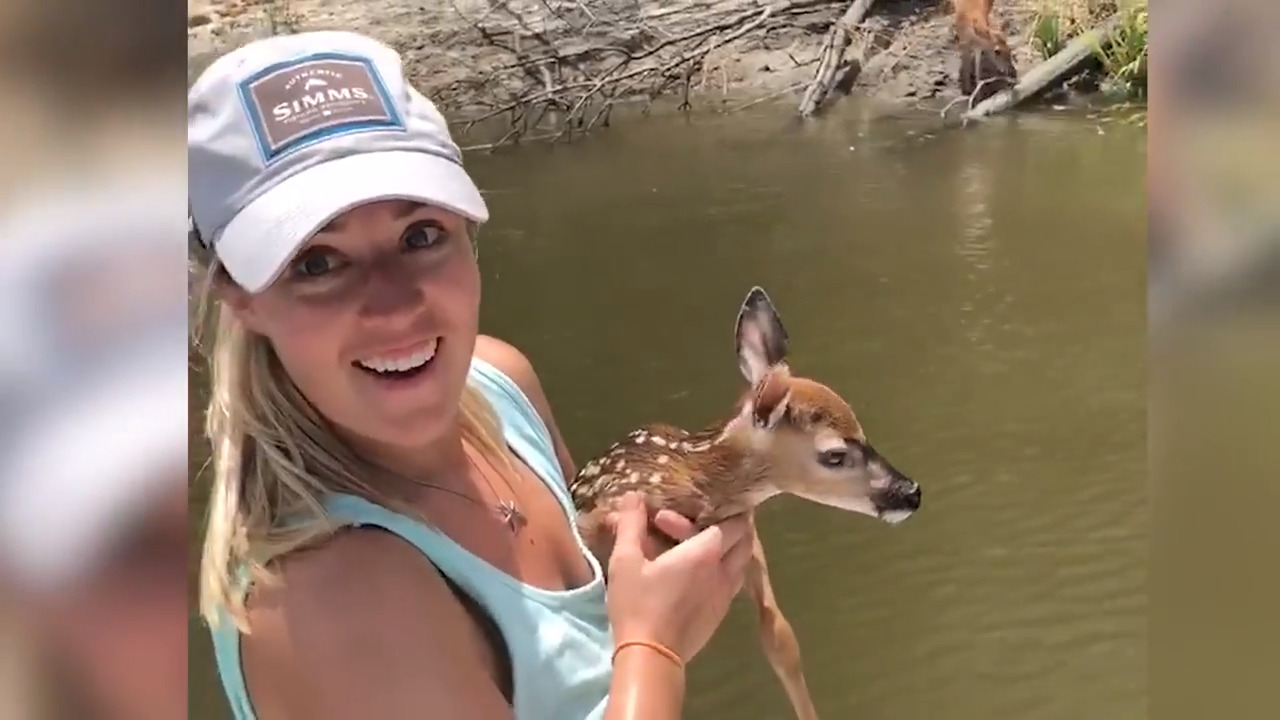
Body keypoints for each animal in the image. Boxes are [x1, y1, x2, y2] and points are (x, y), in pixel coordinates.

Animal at [569, 286, 923, 720]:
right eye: (835, 455)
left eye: (863, 431)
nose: (911, 492)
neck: (700, 480)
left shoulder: (748, 539)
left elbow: (781, 639)